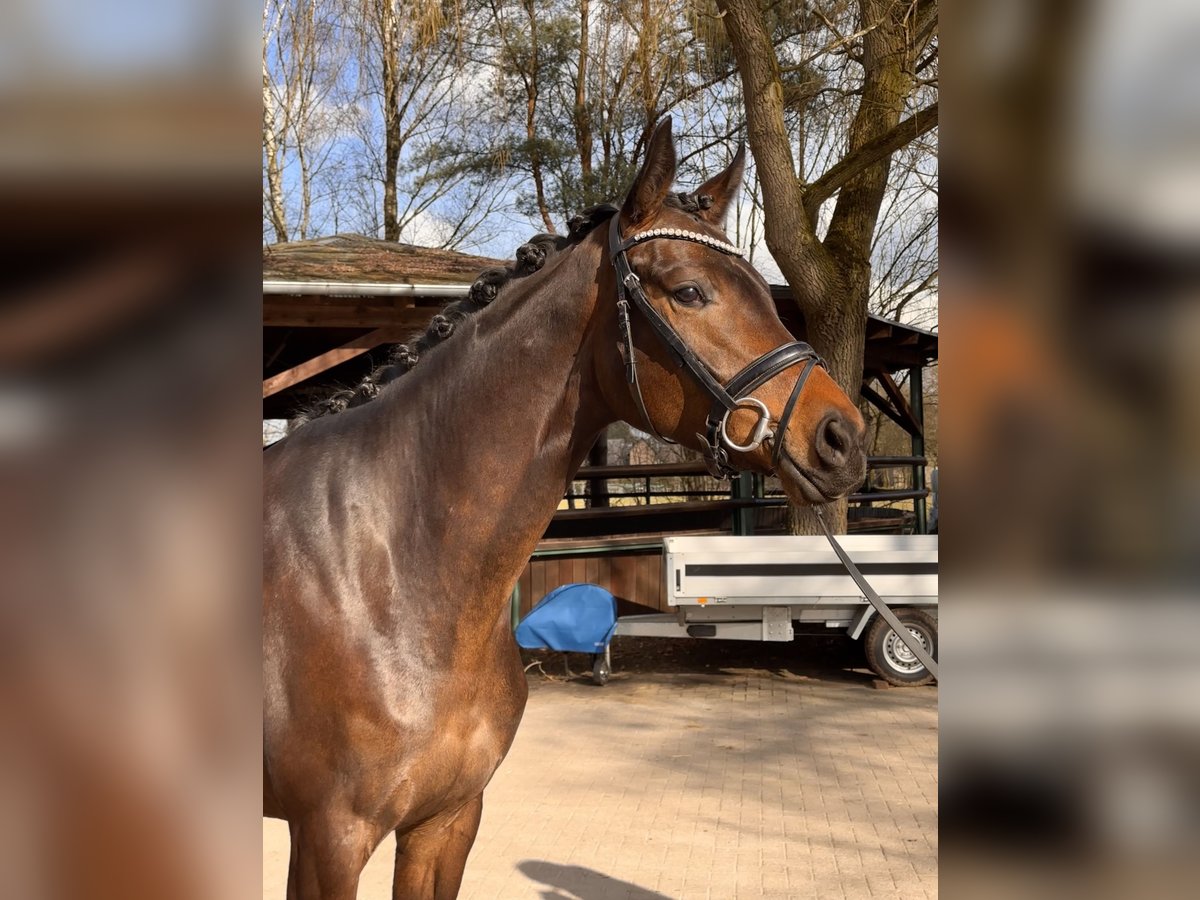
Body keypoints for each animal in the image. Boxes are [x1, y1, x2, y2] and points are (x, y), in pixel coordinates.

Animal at [263, 117, 867, 899]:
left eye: (766, 296)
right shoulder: (328, 839)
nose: (842, 438)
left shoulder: (446, 820)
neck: (390, 566)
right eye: (690, 290)